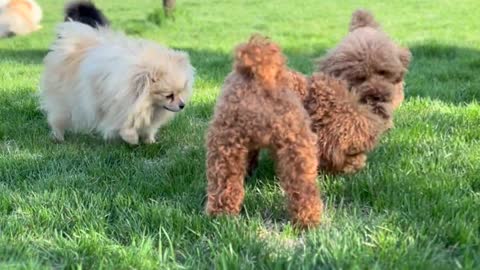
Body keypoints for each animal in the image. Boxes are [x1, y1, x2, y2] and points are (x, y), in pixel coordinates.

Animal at [39, 1, 193, 144]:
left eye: (181, 92)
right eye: (169, 95)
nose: (182, 105)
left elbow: (147, 127)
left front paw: (149, 141)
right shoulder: (119, 105)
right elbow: (123, 124)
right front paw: (131, 139)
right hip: (66, 101)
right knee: (57, 118)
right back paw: (58, 137)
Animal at [205, 35, 322, 229]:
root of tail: (261, 77)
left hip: (225, 143)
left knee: (224, 184)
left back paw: (220, 215)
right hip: (297, 147)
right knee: (304, 188)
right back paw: (308, 220)